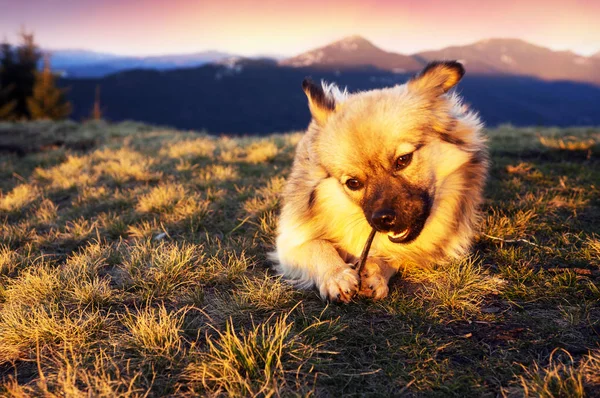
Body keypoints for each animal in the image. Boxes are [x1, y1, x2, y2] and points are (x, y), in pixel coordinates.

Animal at [272, 62, 488, 304]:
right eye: (353, 183)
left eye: (403, 160)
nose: (382, 219)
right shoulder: (290, 242)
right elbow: (317, 246)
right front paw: (336, 275)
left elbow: (395, 256)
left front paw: (376, 272)